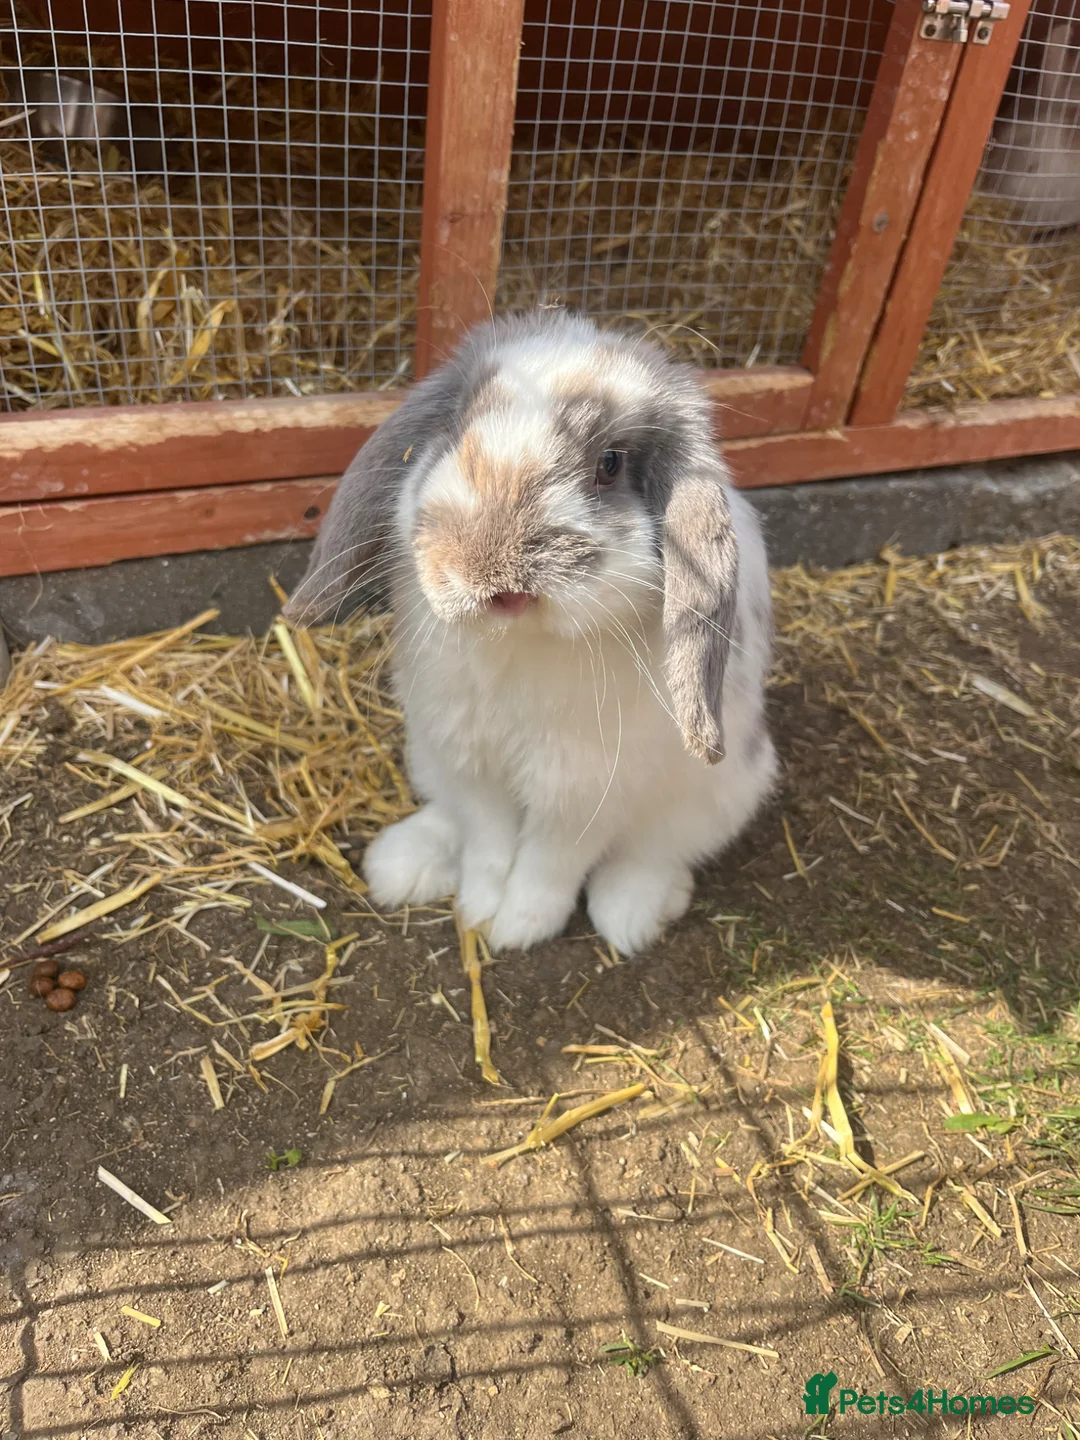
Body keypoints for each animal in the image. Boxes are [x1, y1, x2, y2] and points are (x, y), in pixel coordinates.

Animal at [284, 310, 776, 954]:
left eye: (610, 463)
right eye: (457, 428)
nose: (491, 578)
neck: (518, 642)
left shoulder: (582, 794)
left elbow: (550, 865)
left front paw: (519, 928)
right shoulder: (472, 766)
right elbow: (488, 844)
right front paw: (478, 911)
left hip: (723, 794)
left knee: (656, 853)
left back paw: (633, 915)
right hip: (428, 756)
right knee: (448, 816)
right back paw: (400, 865)